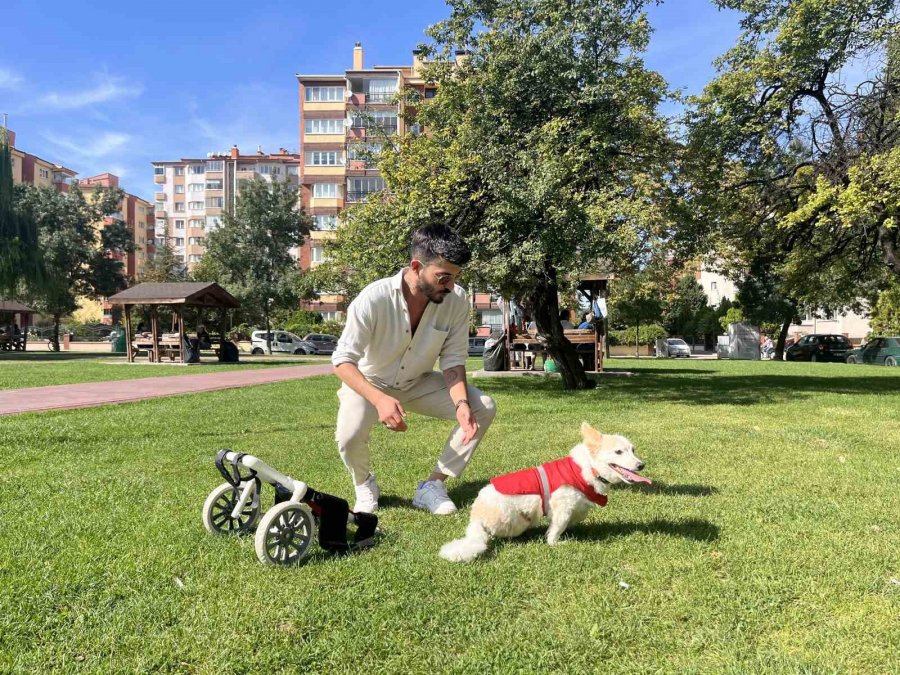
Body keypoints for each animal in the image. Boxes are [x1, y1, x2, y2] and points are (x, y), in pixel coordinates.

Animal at [442, 426, 648, 564]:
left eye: (633, 450)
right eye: (618, 452)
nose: (641, 465)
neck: (589, 468)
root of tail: (475, 519)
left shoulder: (577, 504)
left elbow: (577, 515)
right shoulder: (561, 506)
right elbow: (556, 529)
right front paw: (555, 542)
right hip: (518, 519)